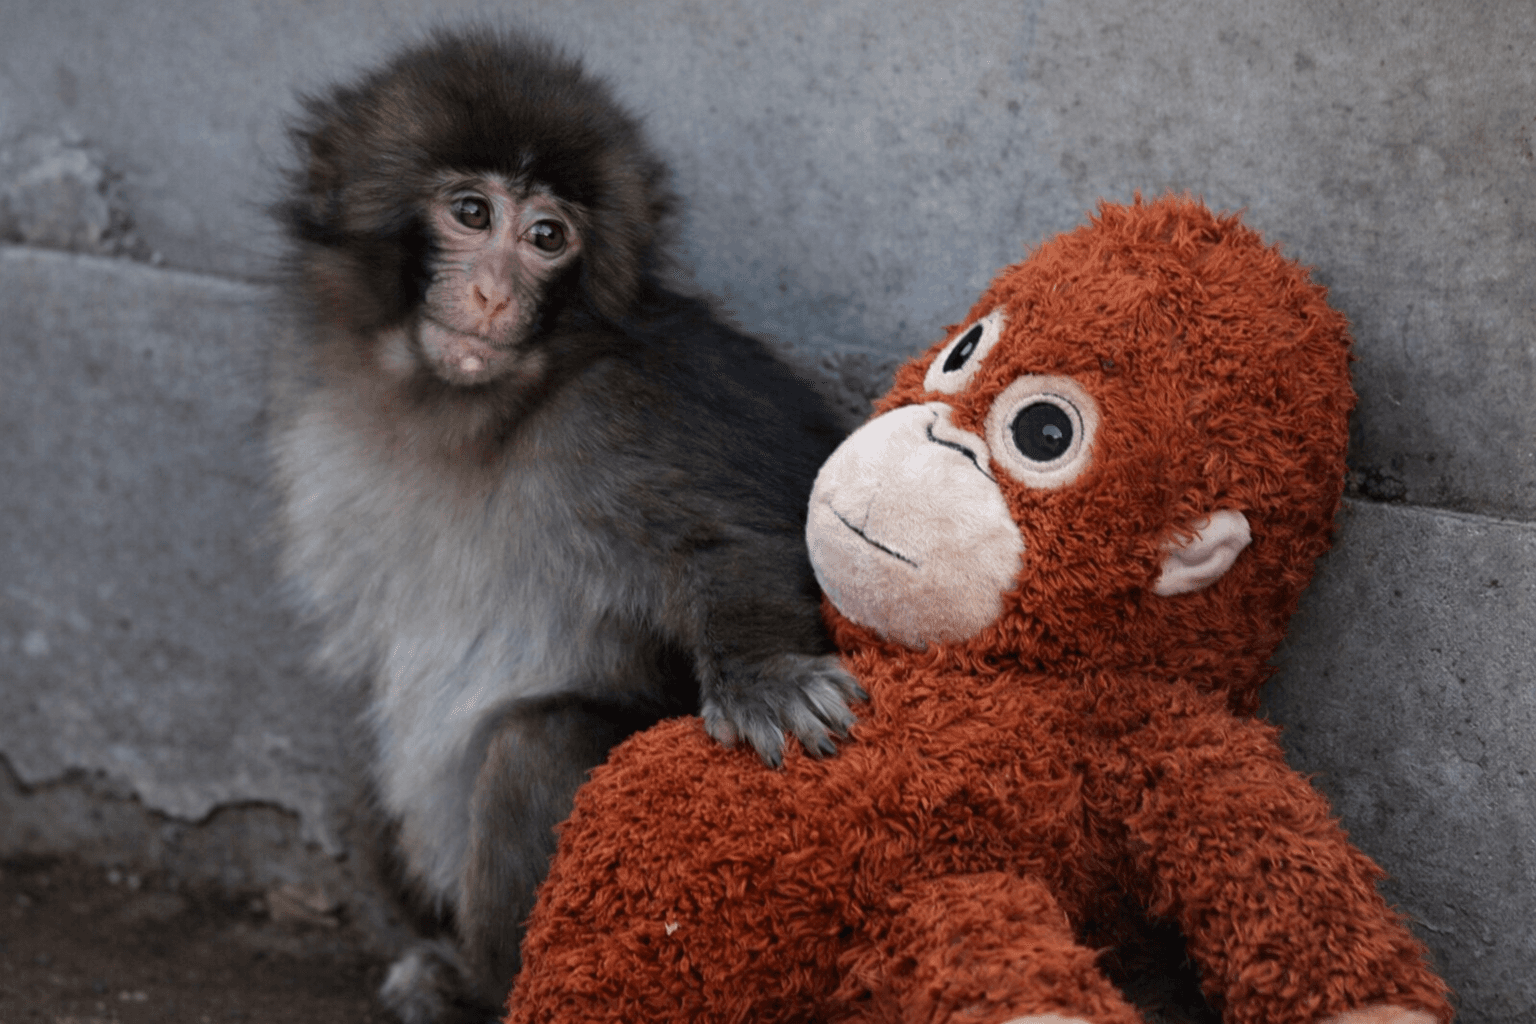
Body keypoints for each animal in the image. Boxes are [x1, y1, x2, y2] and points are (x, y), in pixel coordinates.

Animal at [267, 28, 865, 1024]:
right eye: (471, 213)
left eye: (548, 238)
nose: (492, 294)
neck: (477, 413)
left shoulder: (627, 408)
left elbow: (751, 540)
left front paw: (764, 675)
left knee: (534, 748)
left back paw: (483, 991)